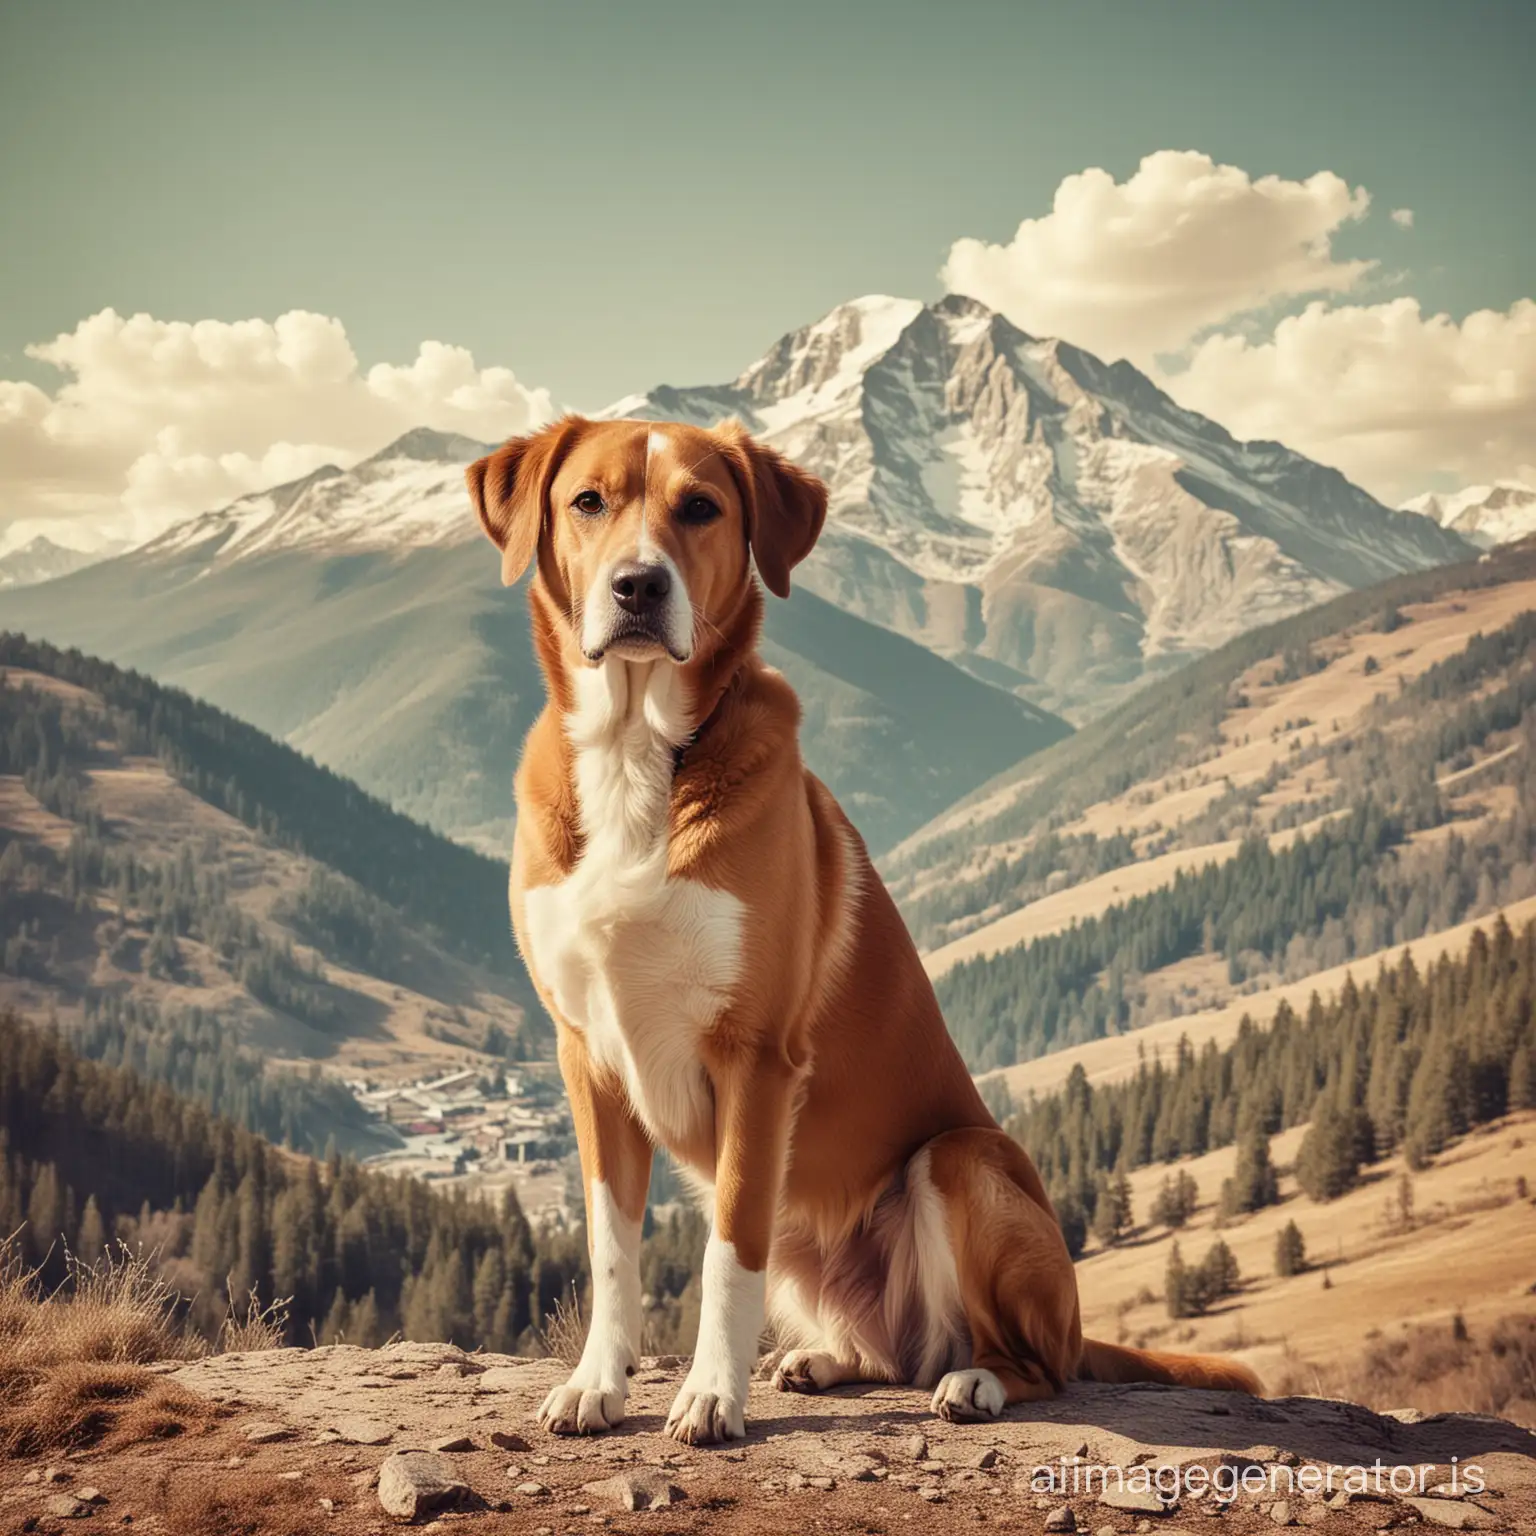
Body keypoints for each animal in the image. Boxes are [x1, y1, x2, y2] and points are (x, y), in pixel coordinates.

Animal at [466, 417, 1259, 1437]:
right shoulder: (587, 1057)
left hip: (963, 1162)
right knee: (888, 1355)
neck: (640, 754)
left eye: (700, 507)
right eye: (588, 502)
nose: (638, 586)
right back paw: (824, 1360)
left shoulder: (757, 1061)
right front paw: (598, 1384)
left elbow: (727, 1253)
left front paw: (710, 1396)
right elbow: (612, 1249)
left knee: (1036, 1363)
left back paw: (978, 1382)